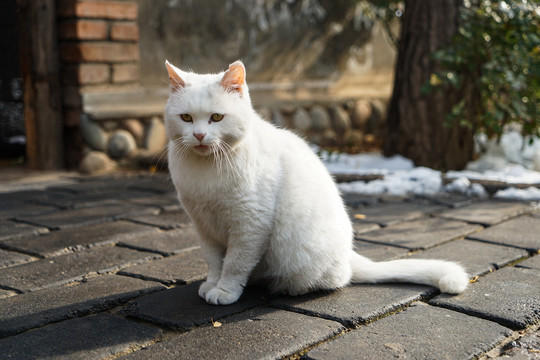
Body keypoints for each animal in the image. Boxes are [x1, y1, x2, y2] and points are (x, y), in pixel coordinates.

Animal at [163, 60, 468, 306]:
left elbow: (235, 264)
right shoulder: (204, 226)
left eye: (216, 117)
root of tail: (348, 254)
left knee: (336, 280)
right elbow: (215, 262)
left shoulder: (250, 224)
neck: (207, 169)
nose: (199, 135)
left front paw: (225, 291)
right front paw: (211, 285)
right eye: (186, 118)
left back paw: (287, 288)